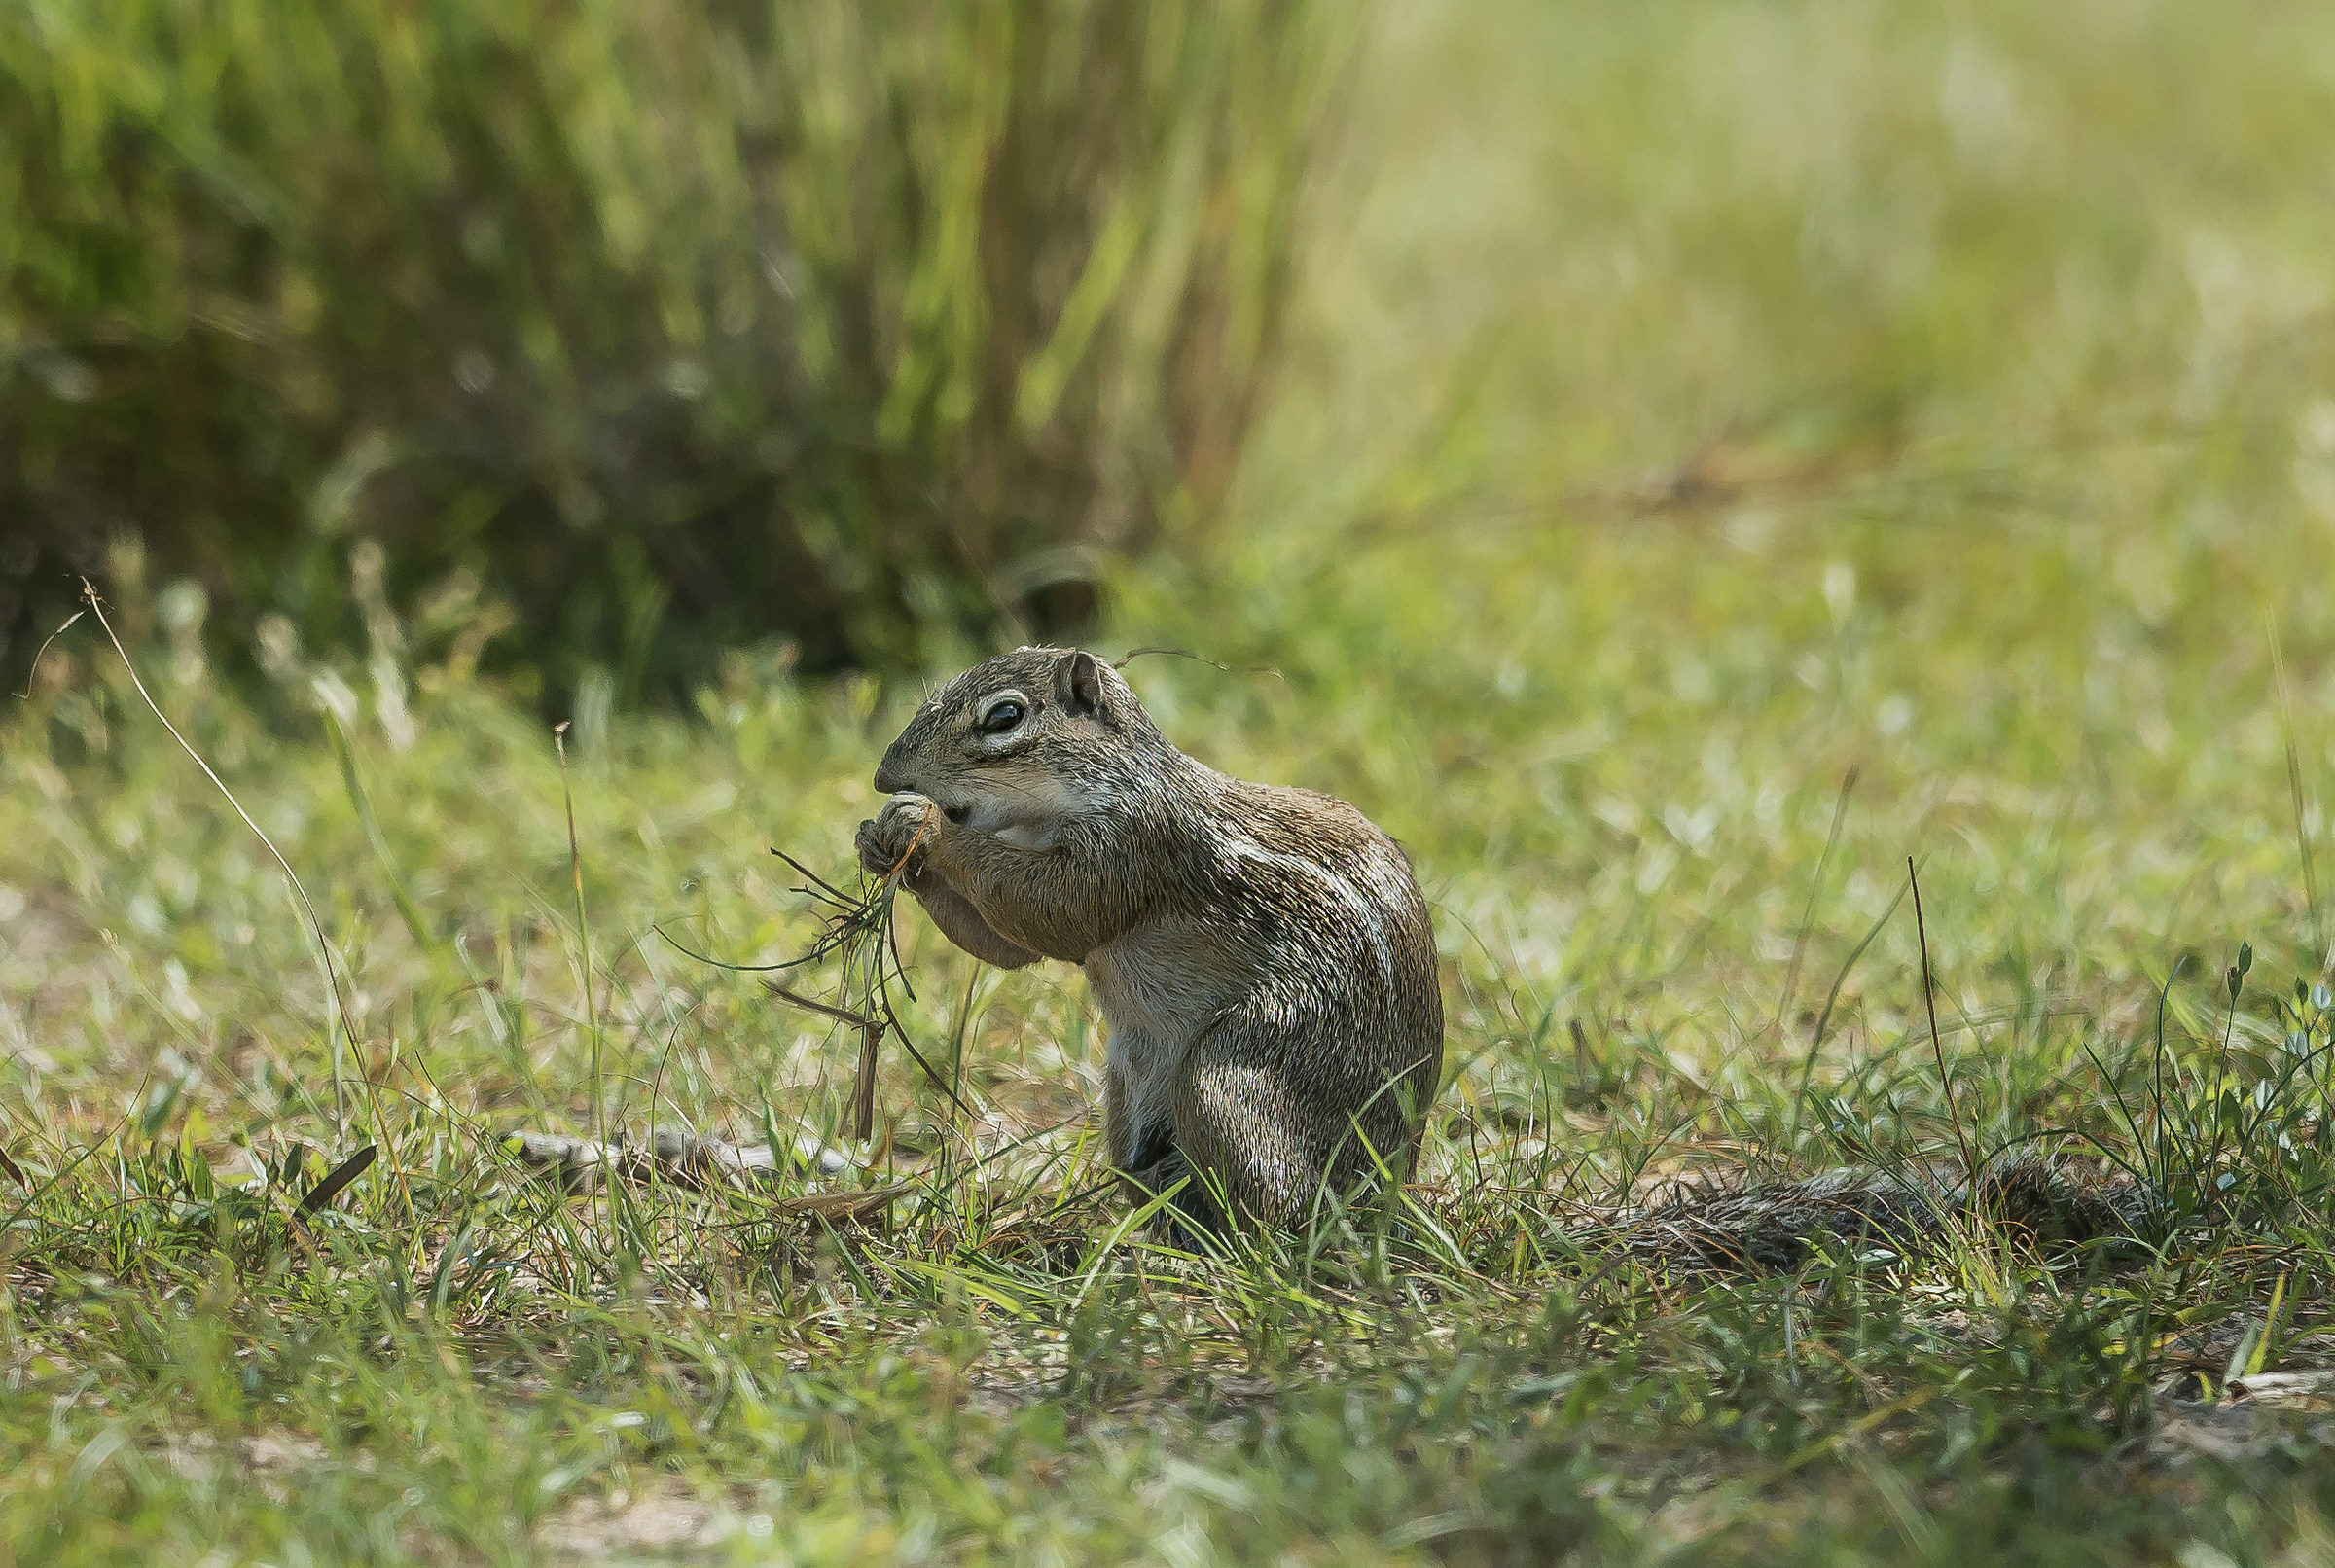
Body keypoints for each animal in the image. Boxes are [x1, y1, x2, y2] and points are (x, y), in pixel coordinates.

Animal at [852, 645, 1445, 1239]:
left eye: (1004, 717)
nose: (882, 776)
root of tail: (1387, 1188)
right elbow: (1007, 947)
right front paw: (877, 842)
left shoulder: (1133, 845)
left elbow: (1047, 908)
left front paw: (925, 825)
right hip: (1126, 1091)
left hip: (1233, 1078)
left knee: (1286, 1208)